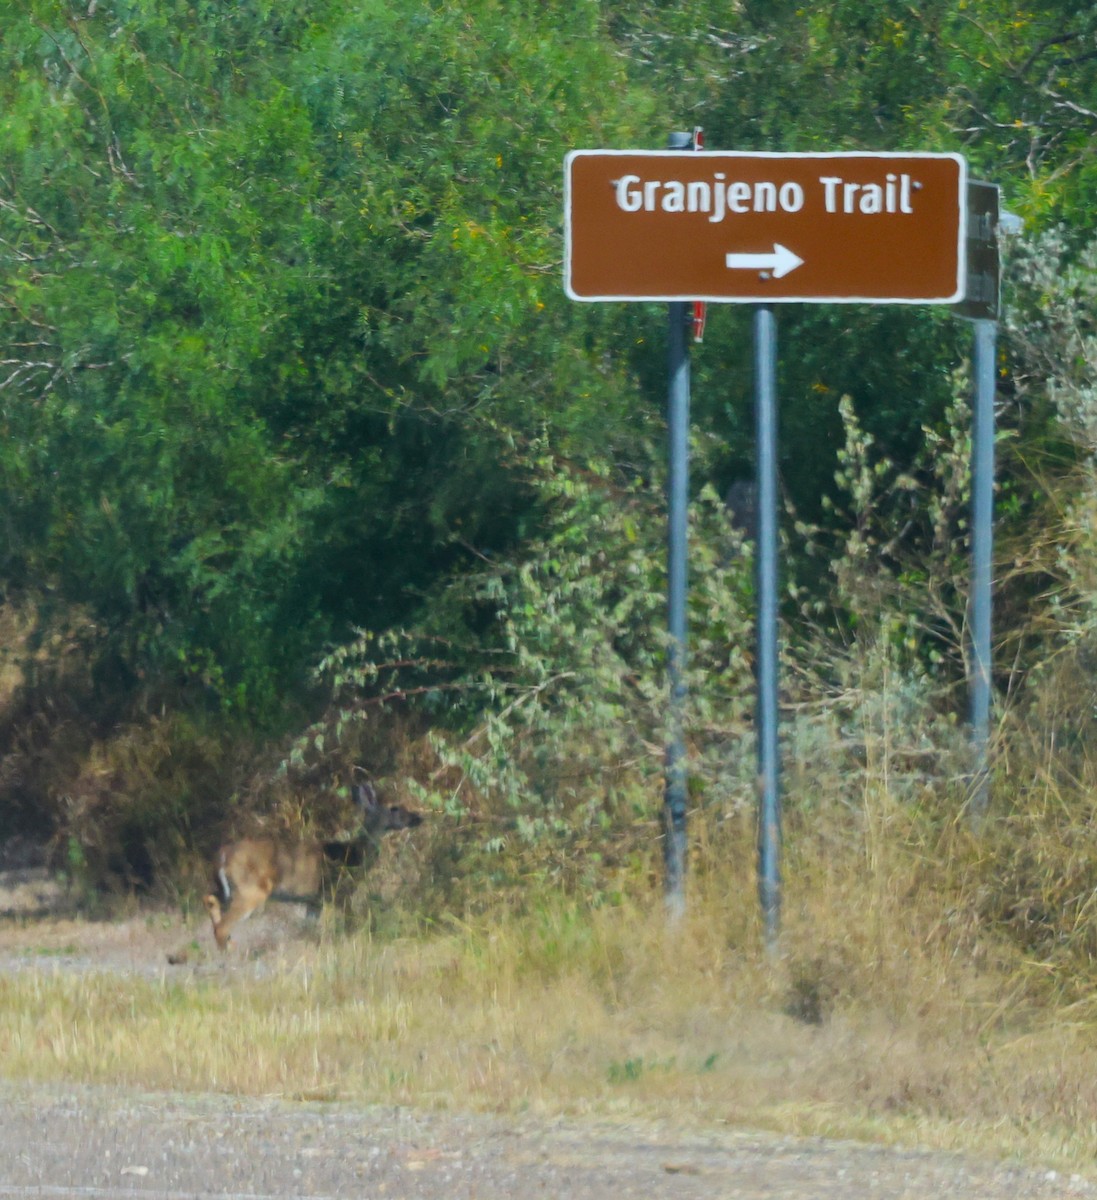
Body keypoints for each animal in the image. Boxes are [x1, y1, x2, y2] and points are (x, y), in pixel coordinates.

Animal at [203, 782, 423, 950]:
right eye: (395, 808)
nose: (418, 818)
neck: (353, 854)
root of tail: (223, 855)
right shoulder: (339, 893)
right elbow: (349, 922)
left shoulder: (315, 900)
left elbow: (307, 928)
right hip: (251, 889)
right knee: (222, 926)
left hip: (229, 889)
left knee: (210, 899)